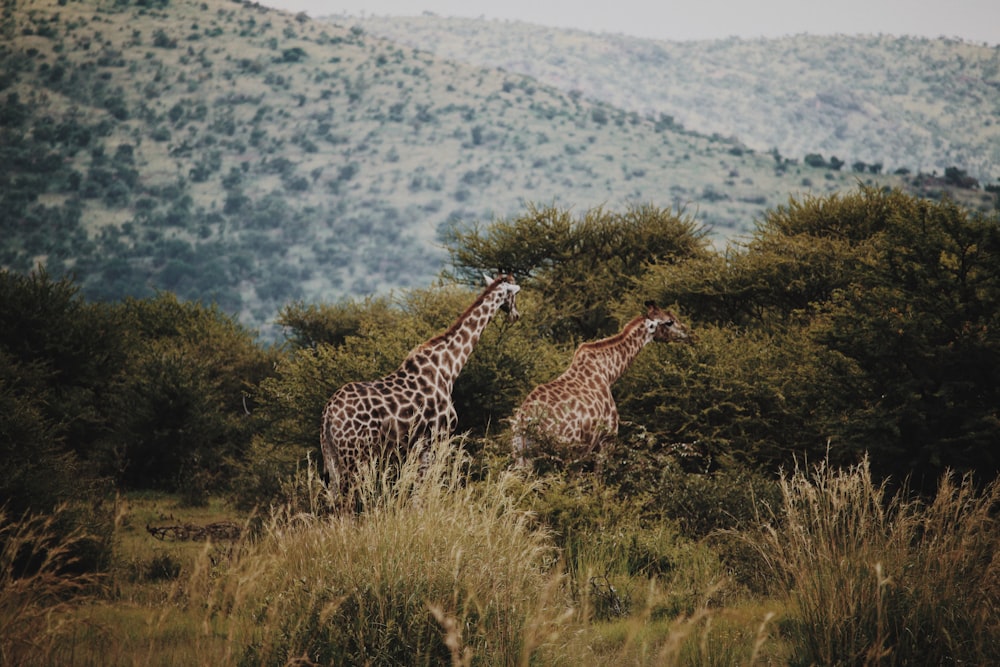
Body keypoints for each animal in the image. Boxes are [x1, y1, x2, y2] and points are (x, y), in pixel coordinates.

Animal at [322, 276, 524, 490]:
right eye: (515, 294)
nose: (516, 315)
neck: (448, 367)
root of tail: (328, 414)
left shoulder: (418, 446)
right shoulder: (437, 437)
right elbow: (426, 488)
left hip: (333, 456)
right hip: (354, 456)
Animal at [512, 304, 692, 468]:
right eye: (669, 322)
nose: (688, 334)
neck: (609, 372)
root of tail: (525, 419)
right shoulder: (605, 440)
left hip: (520, 454)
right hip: (557, 452)